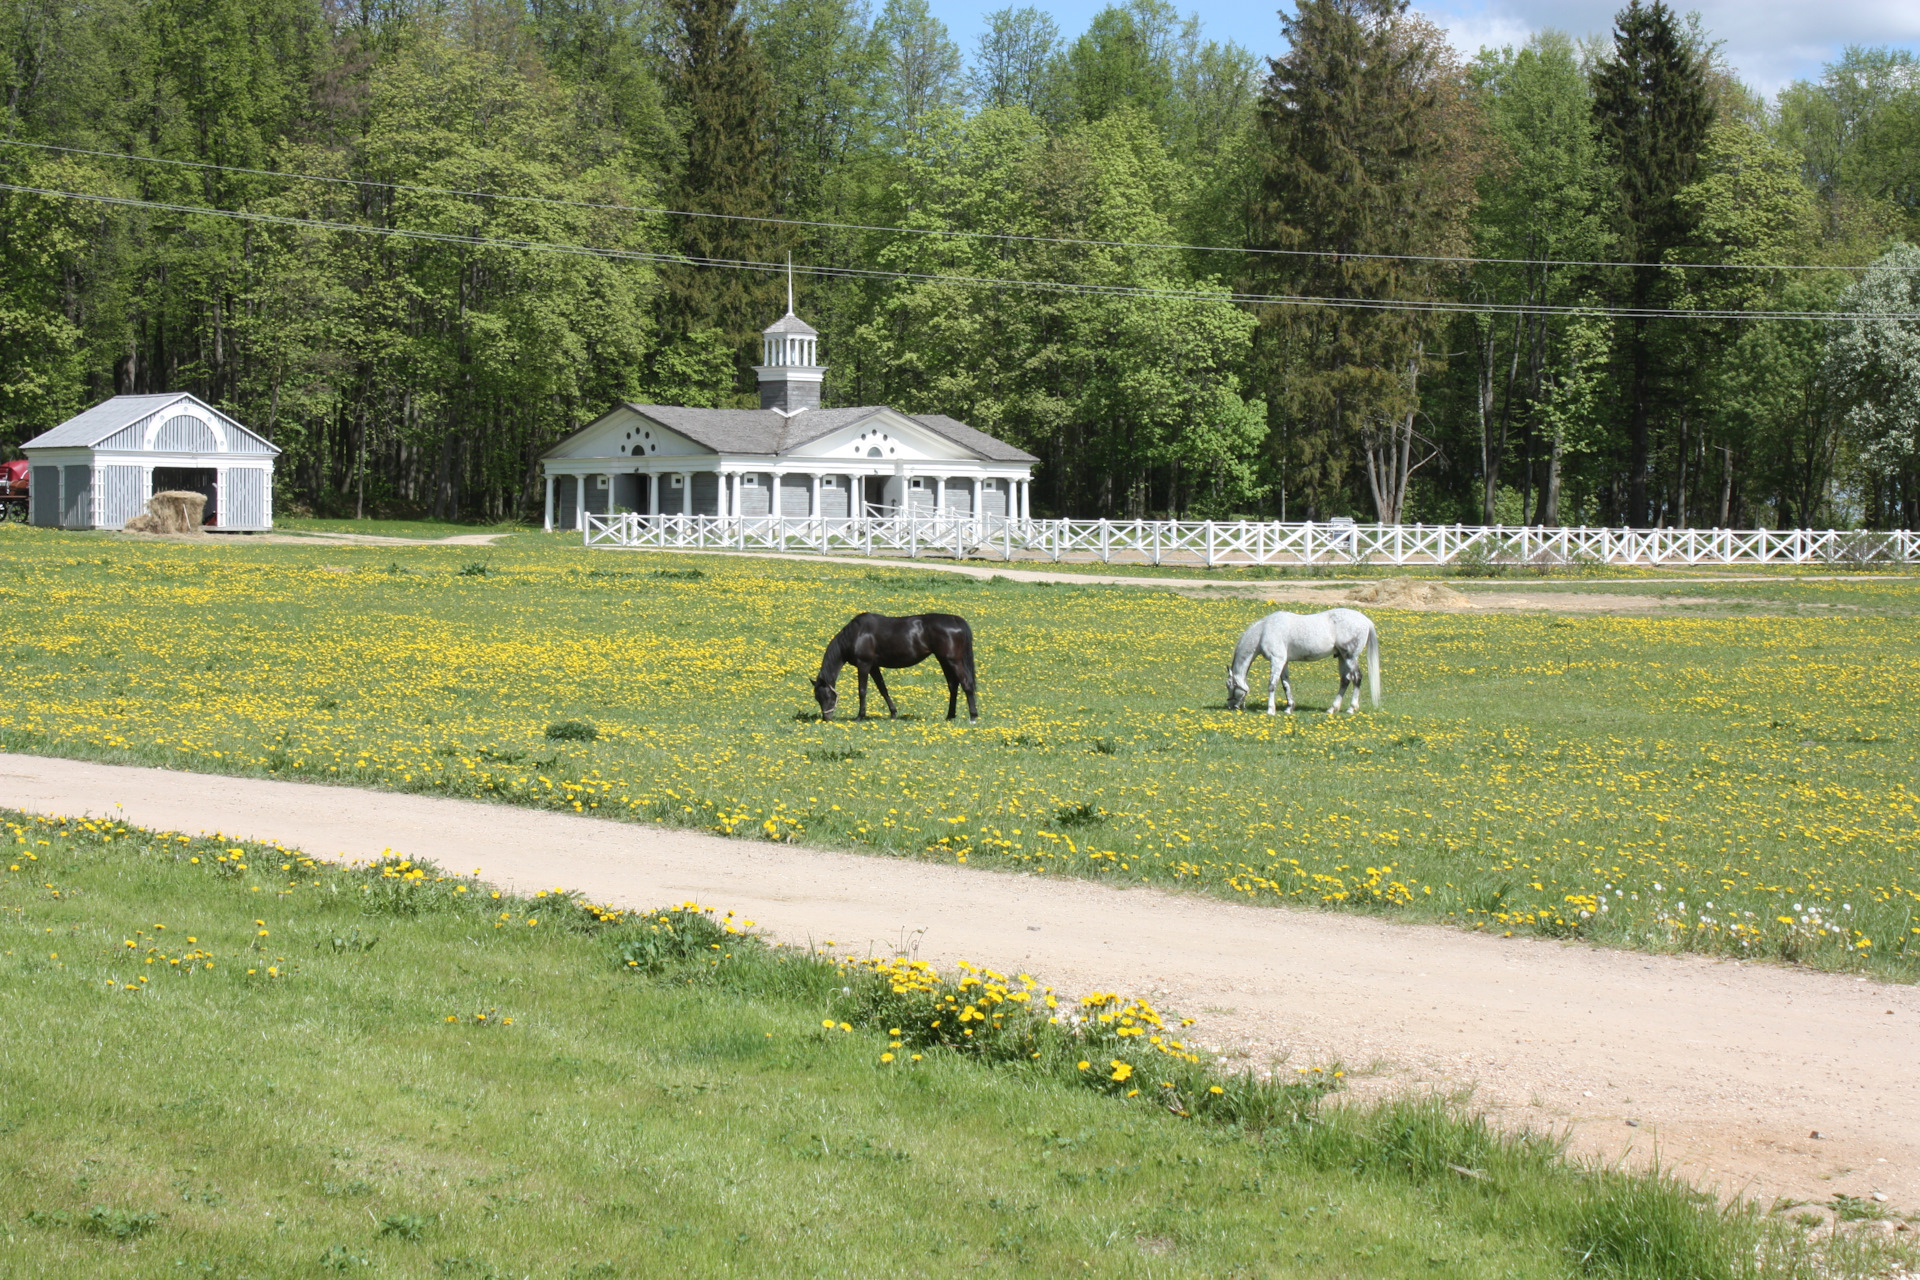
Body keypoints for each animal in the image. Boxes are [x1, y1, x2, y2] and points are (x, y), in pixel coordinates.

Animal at [814, 610, 983, 721]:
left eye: (826, 695)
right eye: (817, 698)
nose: (826, 718)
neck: (857, 634)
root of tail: (955, 619)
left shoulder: (864, 665)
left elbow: (862, 691)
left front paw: (860, 716)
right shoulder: (874, 666)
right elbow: (883, 689)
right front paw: (893, 713)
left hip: (953, 661)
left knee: (966, 684)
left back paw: (973, 716)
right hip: (944, 660)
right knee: (953, 686)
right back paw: (950, 716)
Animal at [1228, 610, 1382, 717]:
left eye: (1229, 685)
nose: (1230, 706)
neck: (1264, 631)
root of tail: (1365, 620)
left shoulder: (1277, 660)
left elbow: (1272, 685)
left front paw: (1271, 710)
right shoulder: (1284, 662)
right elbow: (1285, 685)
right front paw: (1289, 708)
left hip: (1350, 657)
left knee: (1356, 678)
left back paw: (1351, 708)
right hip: (1342, 657)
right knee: (1345, 680)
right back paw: (1332, 709)